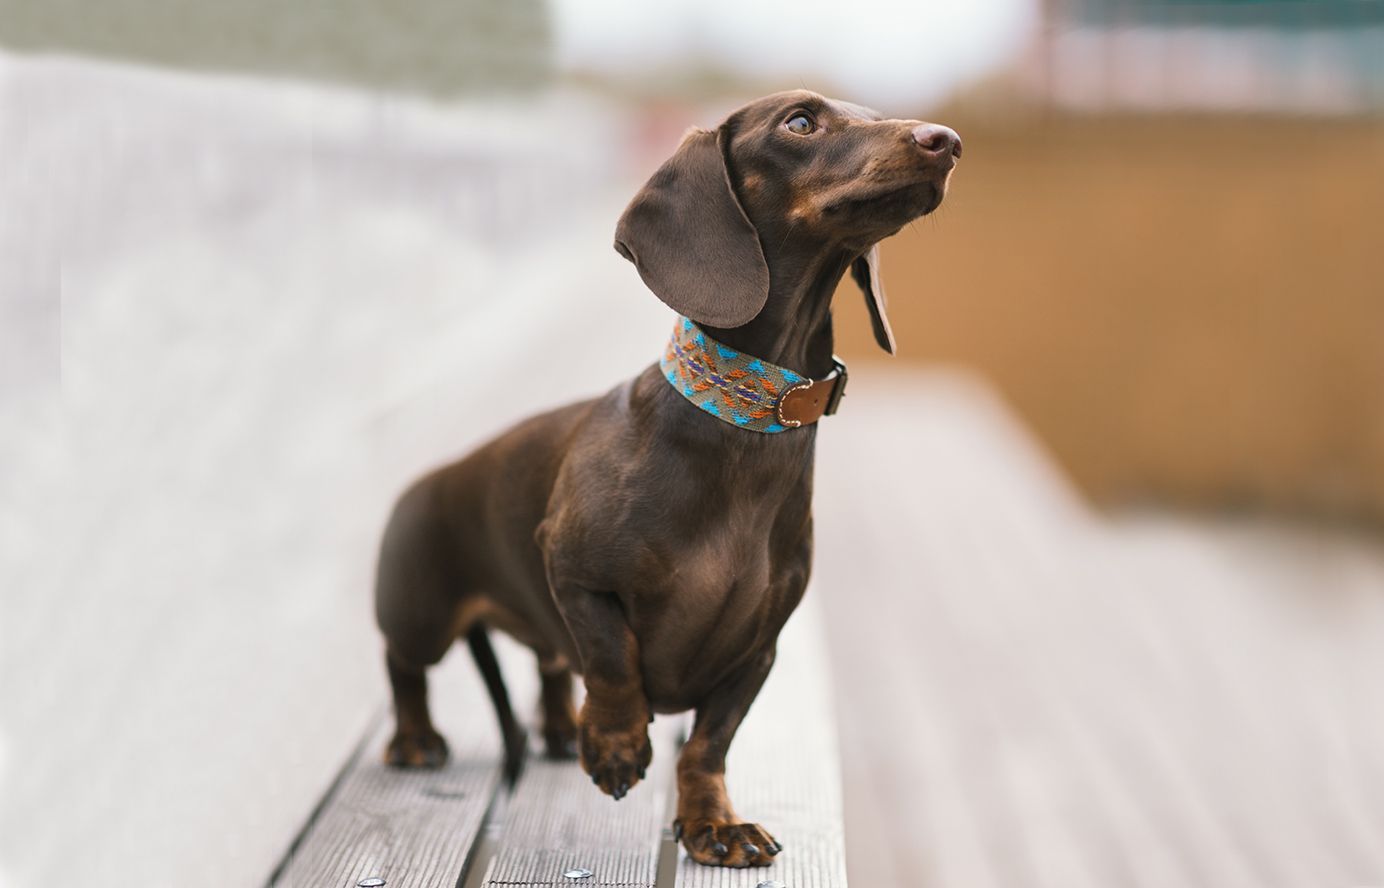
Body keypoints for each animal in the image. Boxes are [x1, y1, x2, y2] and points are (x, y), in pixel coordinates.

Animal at [379, 91, 963, 863]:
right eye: (800, 122)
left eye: (868, 107)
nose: (947, 140)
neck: (746, 416)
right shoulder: (573, 571)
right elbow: (612, 660)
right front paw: (616, 745)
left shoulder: (756, 650)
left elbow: (708, 745)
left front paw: (714, 822)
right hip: (418, 614)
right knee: (406, 666)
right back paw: (418, 738)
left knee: (548, 664)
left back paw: (560, 729)